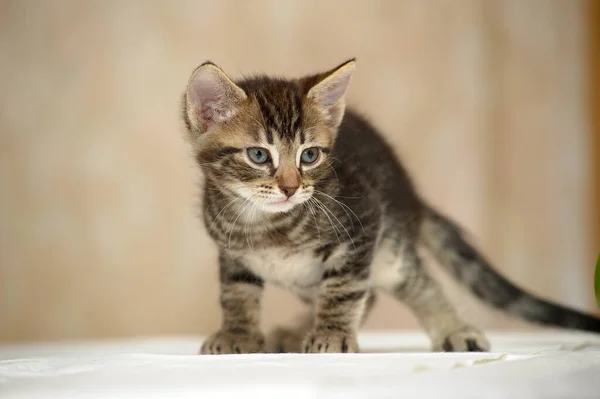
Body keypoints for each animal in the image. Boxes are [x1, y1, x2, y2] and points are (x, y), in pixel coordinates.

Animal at [182, 58, 600, 354]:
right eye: (258, 155)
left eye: (309, 155)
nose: (290, 187)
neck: (265, 225)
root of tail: (411, 194)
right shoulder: (230, 253)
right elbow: (236, 294)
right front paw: (237, 335)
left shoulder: (363, 224)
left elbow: (345, 289)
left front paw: (332, 334)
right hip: (308, 277)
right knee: (368, 297)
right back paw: (295, 331)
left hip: (389, 251)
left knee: (414, 285)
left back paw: (455, 330)